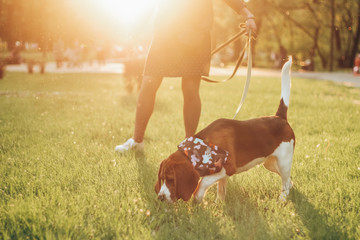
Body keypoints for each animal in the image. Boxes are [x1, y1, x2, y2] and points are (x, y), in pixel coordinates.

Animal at [154, 57, 292, 202]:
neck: (200, 147)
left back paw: (282, 199)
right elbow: (221, 188)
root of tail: (280, 117)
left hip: (284, 162)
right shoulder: (221, 174)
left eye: (171, 179)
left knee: (285, 182)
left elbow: (202, 183)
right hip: (270, 163)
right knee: (289, 180)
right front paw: (219, 203)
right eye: (162, 178)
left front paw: (198, 198)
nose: (160, 197)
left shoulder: (228, 168)